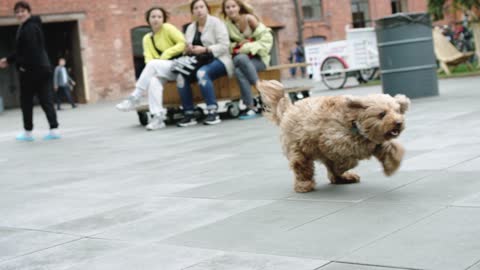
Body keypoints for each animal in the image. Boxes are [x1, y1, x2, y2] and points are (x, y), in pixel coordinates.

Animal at [256, 79, 410, 193]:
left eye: (397, 111)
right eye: (382, 114)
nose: (398, 123)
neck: (354, 123)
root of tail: (288, 109)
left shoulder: (373, 143)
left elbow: (390, 149)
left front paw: (391, 165)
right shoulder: (332, 142)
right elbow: (348, 159)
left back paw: (344, 177)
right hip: (299, 149)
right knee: (302, 166)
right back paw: (304, 185)